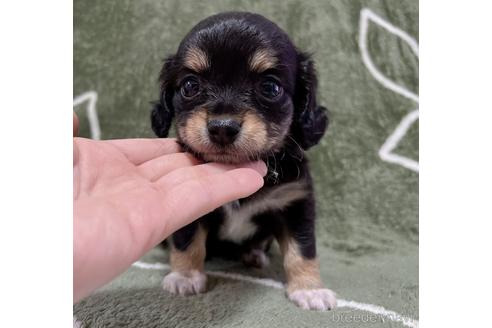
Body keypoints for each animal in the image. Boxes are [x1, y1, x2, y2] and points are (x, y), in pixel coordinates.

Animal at [150, 12, 334, 310]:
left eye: (270, 87)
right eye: (190, 85)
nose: (222, 128)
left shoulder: (295, 202)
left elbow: (303, 249)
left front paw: (309, 289)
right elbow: (188, 241)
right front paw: (185, 276)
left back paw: (254, 254)